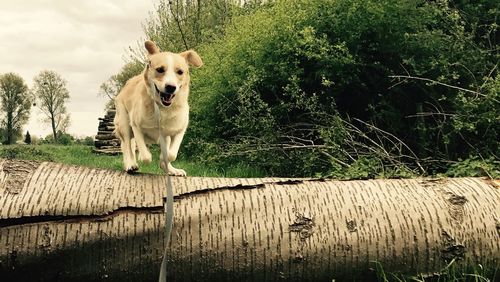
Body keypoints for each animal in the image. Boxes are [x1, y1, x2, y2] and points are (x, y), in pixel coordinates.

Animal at [114, 40, 202, 175]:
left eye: (180, 72)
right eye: (160, 69)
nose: (171, 87)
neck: (162, 109)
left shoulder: (179, 130)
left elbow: (171, 154)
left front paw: (165, 162)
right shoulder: (136, 126)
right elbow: (145, 155)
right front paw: (144, 156)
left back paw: (172, 170)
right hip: (124, 122)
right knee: (127, 146)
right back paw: (131, 165)